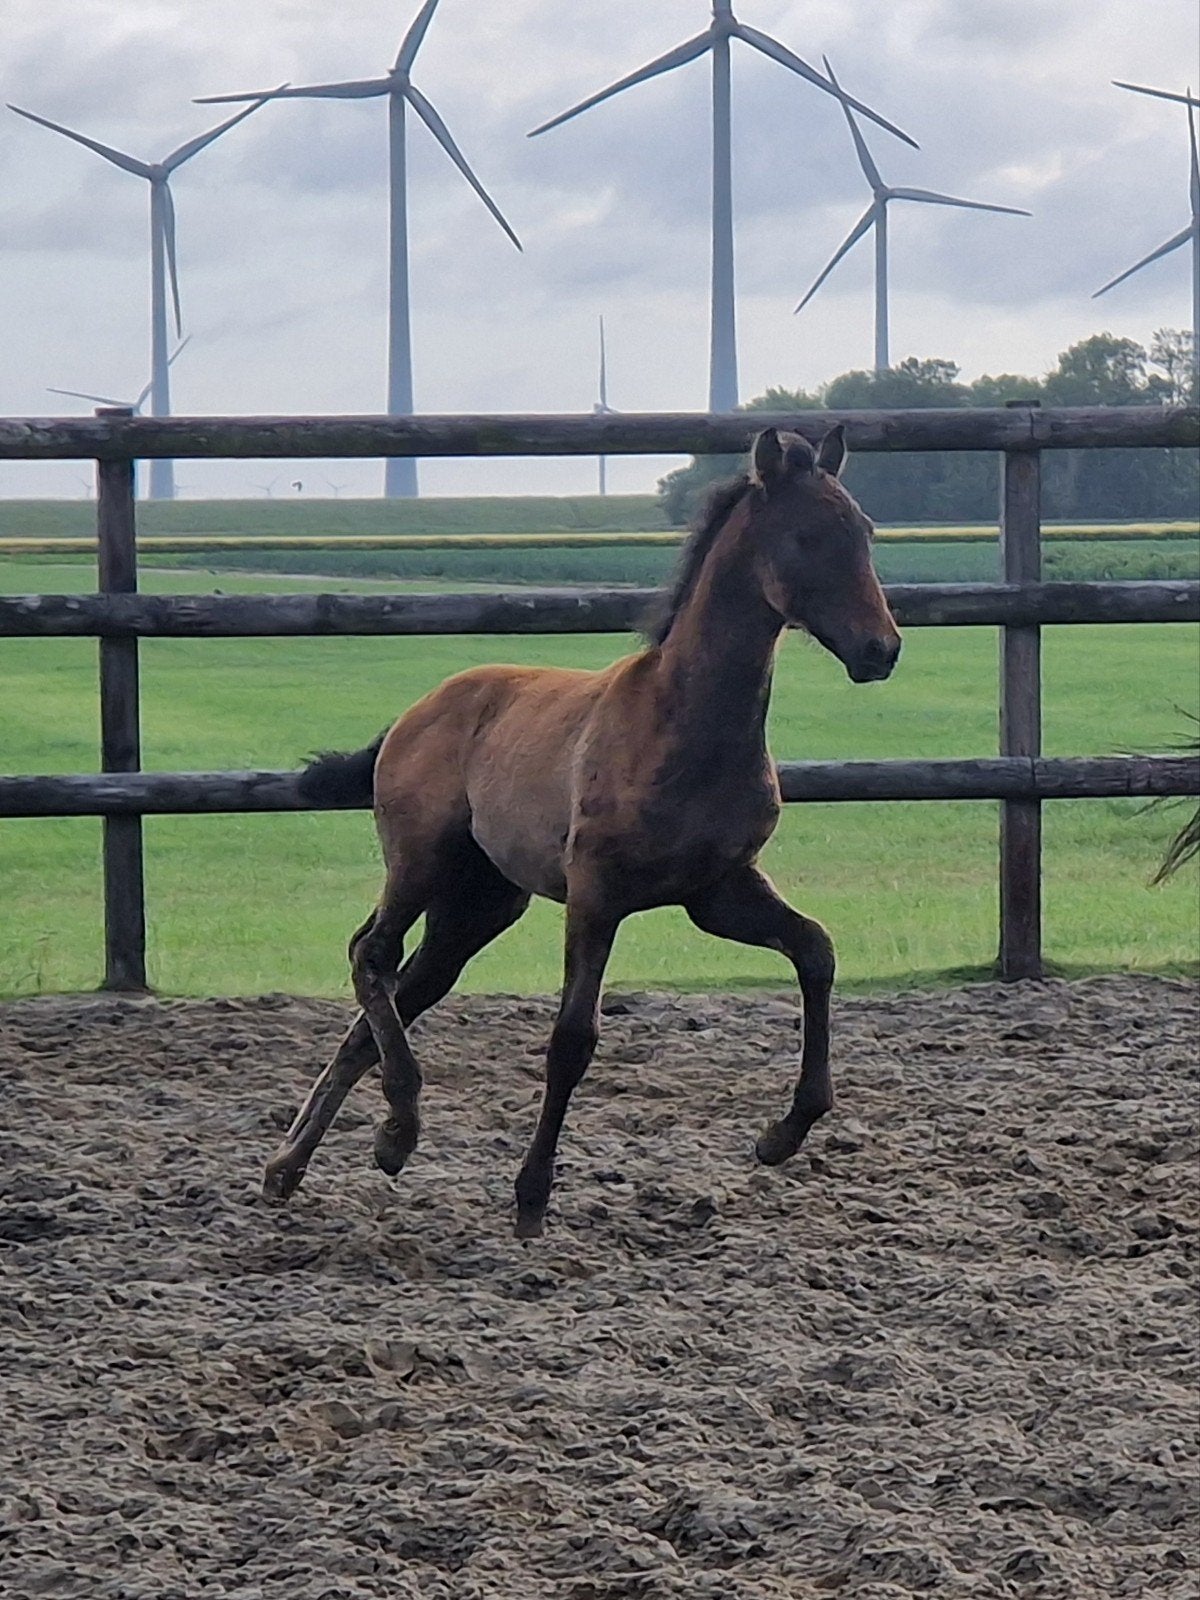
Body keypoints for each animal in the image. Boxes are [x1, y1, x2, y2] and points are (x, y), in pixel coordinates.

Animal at [265, 426, 901, 1236]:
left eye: (867, 532)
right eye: (806, 536)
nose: (881, 650)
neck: (684, 721)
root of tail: (416, 712)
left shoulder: (719, 891)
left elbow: (816, 950)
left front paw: (782, 1134)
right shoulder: (597, 896)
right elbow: (573, 1038)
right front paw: (532, 1194)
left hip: (479, 904)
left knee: (399, 994)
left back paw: (300, 1163)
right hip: (420, 861)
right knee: (370, 953)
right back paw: (396, 1128)